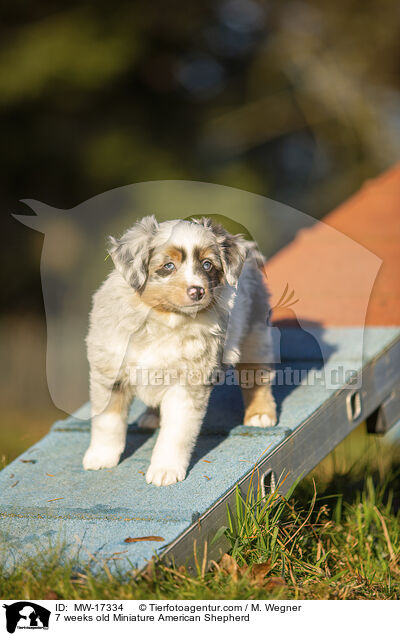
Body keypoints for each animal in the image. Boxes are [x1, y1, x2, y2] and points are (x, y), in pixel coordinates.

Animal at [83, 216, 276, 484]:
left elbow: (175, 433)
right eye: (168, 266)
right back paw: (151, 417)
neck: (162, 319)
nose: (197, 291)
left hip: (255, 334)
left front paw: (165, 471)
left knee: (257, 377)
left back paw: (260, 415)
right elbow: (107, 421)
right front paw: (100, 458)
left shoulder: (187, 384)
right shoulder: (109, 371)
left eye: (207, 264)